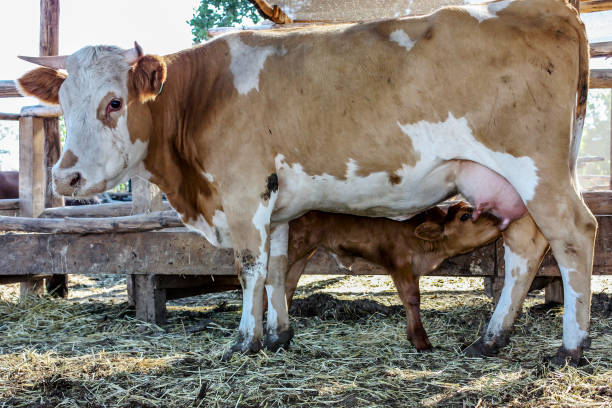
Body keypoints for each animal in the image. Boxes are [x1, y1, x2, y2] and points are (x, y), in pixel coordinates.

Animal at [284, 202, 500, 352]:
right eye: (465, 216)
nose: (498, 219)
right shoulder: (400, 264)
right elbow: (411, 298)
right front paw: (421, 341)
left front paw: (413, 337)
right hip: (294, 248)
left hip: (304, 253)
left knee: (288, 285)